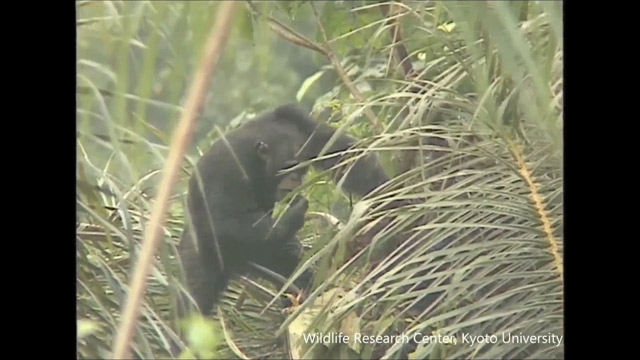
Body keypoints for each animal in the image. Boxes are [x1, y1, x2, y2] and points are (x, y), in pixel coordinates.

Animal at [178, 102, 392, 316]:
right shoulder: (226, 169)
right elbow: (220, 221)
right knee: (196, 294)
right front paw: (293, 214)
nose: (295, 179)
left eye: (302, 168)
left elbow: (342, 152)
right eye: (289, 168)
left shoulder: (298, 120)